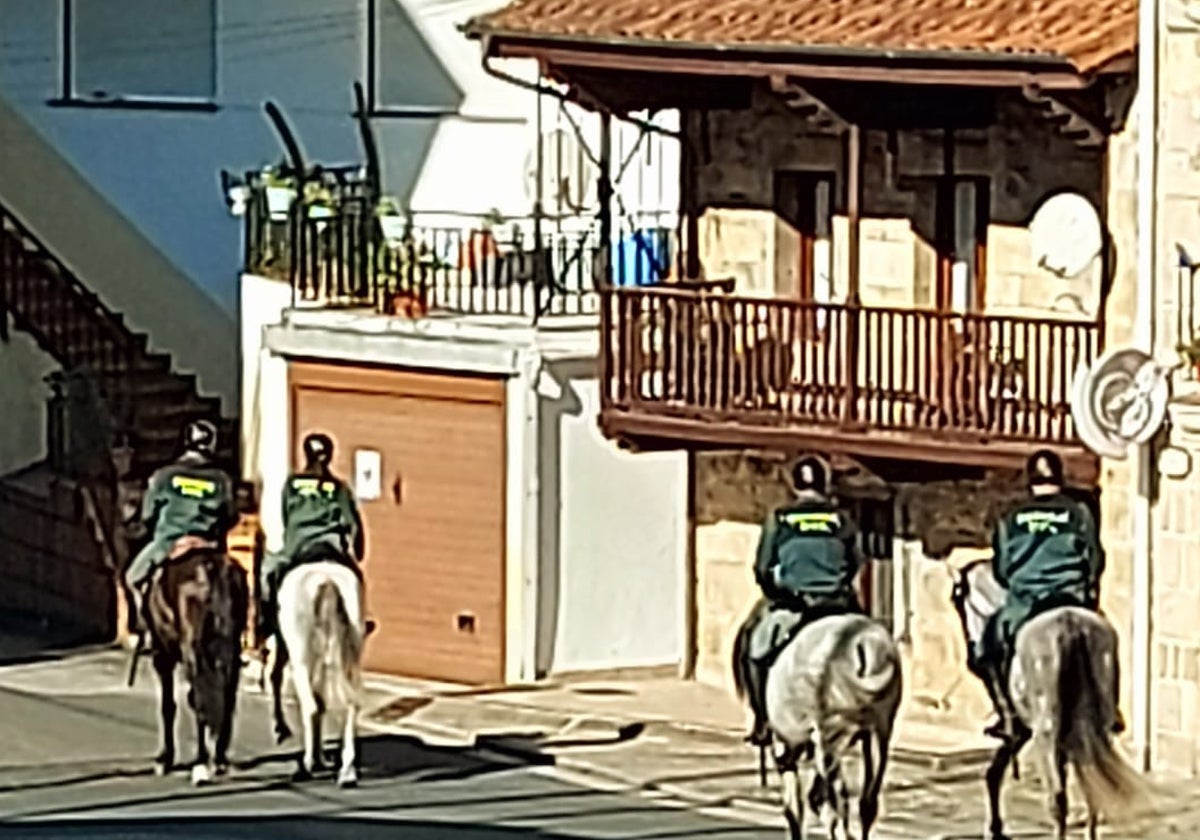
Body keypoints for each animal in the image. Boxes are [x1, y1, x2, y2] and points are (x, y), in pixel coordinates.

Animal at [144, 537, 249, 787]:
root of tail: (211, 569)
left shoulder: (162, 656)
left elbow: (168, 706)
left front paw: (165, 758)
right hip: (232, 649)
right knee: (228, 698)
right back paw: (219, 759)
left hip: (191, 652)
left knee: (199, 701)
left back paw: (200, 763)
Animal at [270, 556, 362, 787]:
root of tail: (327, 580)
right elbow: (322, 704)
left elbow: (276, 677)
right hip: (351, 656)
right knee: (351, 705)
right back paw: (347, 771)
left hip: (300, 659)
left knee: (309, 706)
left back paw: (306, 766)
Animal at [729, 609, 902, 840]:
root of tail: (863, 644)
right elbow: (814, 798)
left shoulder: (788, 746)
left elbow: (795, 809)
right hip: (877, 735)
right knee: (866, 804)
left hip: (829, 740)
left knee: (839, 805)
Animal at [950, 561, 1147, 835]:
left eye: (957, 601)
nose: (972, 659)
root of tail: (1069, 624)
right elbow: (996, 770)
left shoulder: (1020, 729)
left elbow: (995, 770)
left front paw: (995, 826)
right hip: (1096, 727)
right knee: (1091, 792)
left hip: (1046, 733)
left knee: (1058, 798)